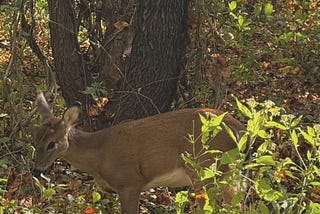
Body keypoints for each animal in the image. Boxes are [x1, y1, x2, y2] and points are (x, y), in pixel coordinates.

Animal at [32, 92, 245, 214]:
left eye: (52, 144)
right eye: (35, 140)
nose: (35, 170)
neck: (100, 154)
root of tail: (239, 129)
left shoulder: (129, 182)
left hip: (205, 169)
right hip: (229, 173)